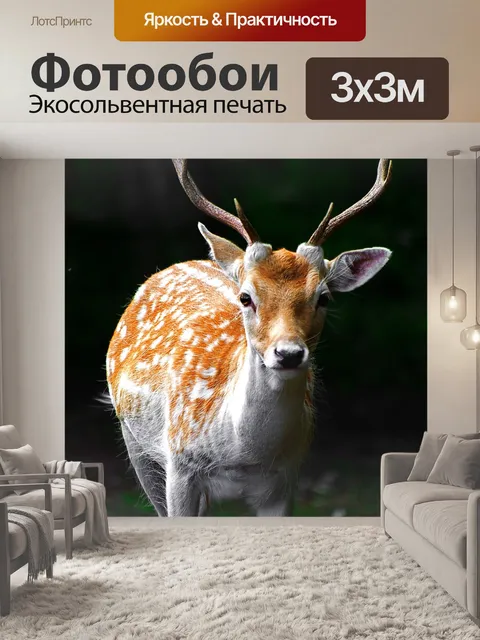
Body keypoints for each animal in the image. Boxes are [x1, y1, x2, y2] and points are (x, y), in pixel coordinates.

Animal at [106, 159, 392, 517]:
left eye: (323, 297)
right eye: (245, 297)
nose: (288, 353)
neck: (241, 454)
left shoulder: (284, 480)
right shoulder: (179, 465)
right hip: (134, 439)